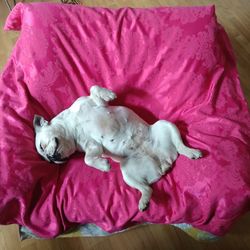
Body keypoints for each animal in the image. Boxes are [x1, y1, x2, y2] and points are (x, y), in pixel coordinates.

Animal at [33, 86, 202, 211]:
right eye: (50, 161)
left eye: (42, 146)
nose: (51, 158)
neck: (72, 126)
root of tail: (163, 161)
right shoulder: (91, 145)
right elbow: (88, 158)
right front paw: (103, 165)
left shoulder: (95, 103)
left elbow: (94, 88)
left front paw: (109, 94)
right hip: (128, 173)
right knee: (147, 188)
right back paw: (144, 201)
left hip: (165, 125)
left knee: (180, 146)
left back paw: (192, 151)